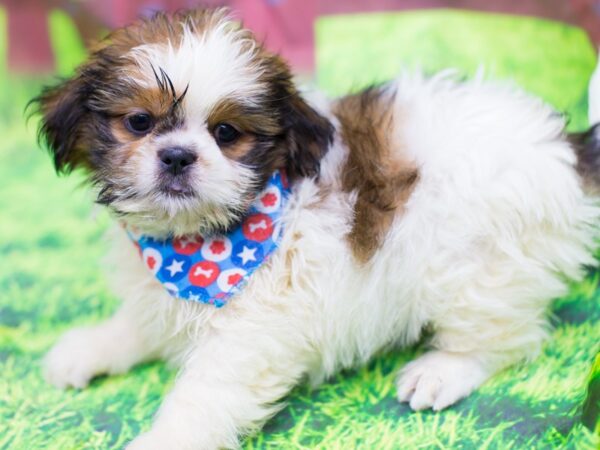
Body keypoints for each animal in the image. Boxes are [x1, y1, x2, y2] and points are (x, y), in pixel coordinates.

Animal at [32, 7, 600, 450]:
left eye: (225, 132)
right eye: (139, 123)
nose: (177, 155)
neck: (203, 242)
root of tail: (566, 149)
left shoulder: (253, 333)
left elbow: (203, 397)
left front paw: (163, 440)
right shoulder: (164, 293)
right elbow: (145, 321)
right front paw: (93, 347)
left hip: (480, 266)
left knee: (509, 339)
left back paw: (444, 369)